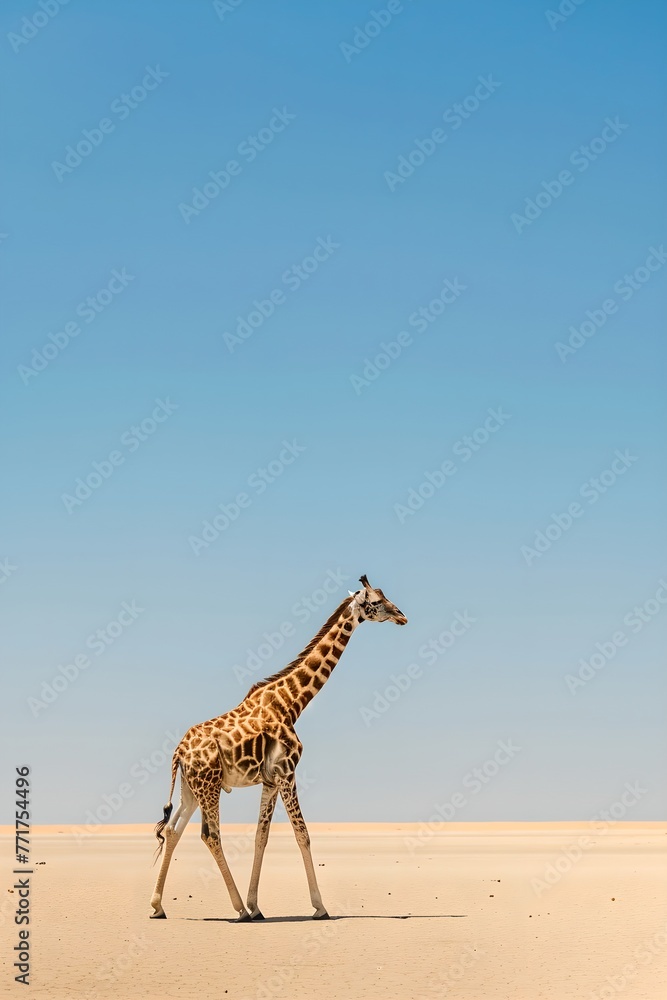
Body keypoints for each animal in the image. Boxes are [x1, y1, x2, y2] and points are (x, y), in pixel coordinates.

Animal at [149, 574, 407, 922]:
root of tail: (178, 753)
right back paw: (237, 909)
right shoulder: (287, 771)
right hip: (210, 785)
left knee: (173, 831)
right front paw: (319, 907)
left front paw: (257, 905)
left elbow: (262, 836)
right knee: (209, 835)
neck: (293, 702)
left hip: (190, 789)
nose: (402, 616)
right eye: (376, 602)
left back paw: (158, 906)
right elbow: (302, 834)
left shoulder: (270, 780)